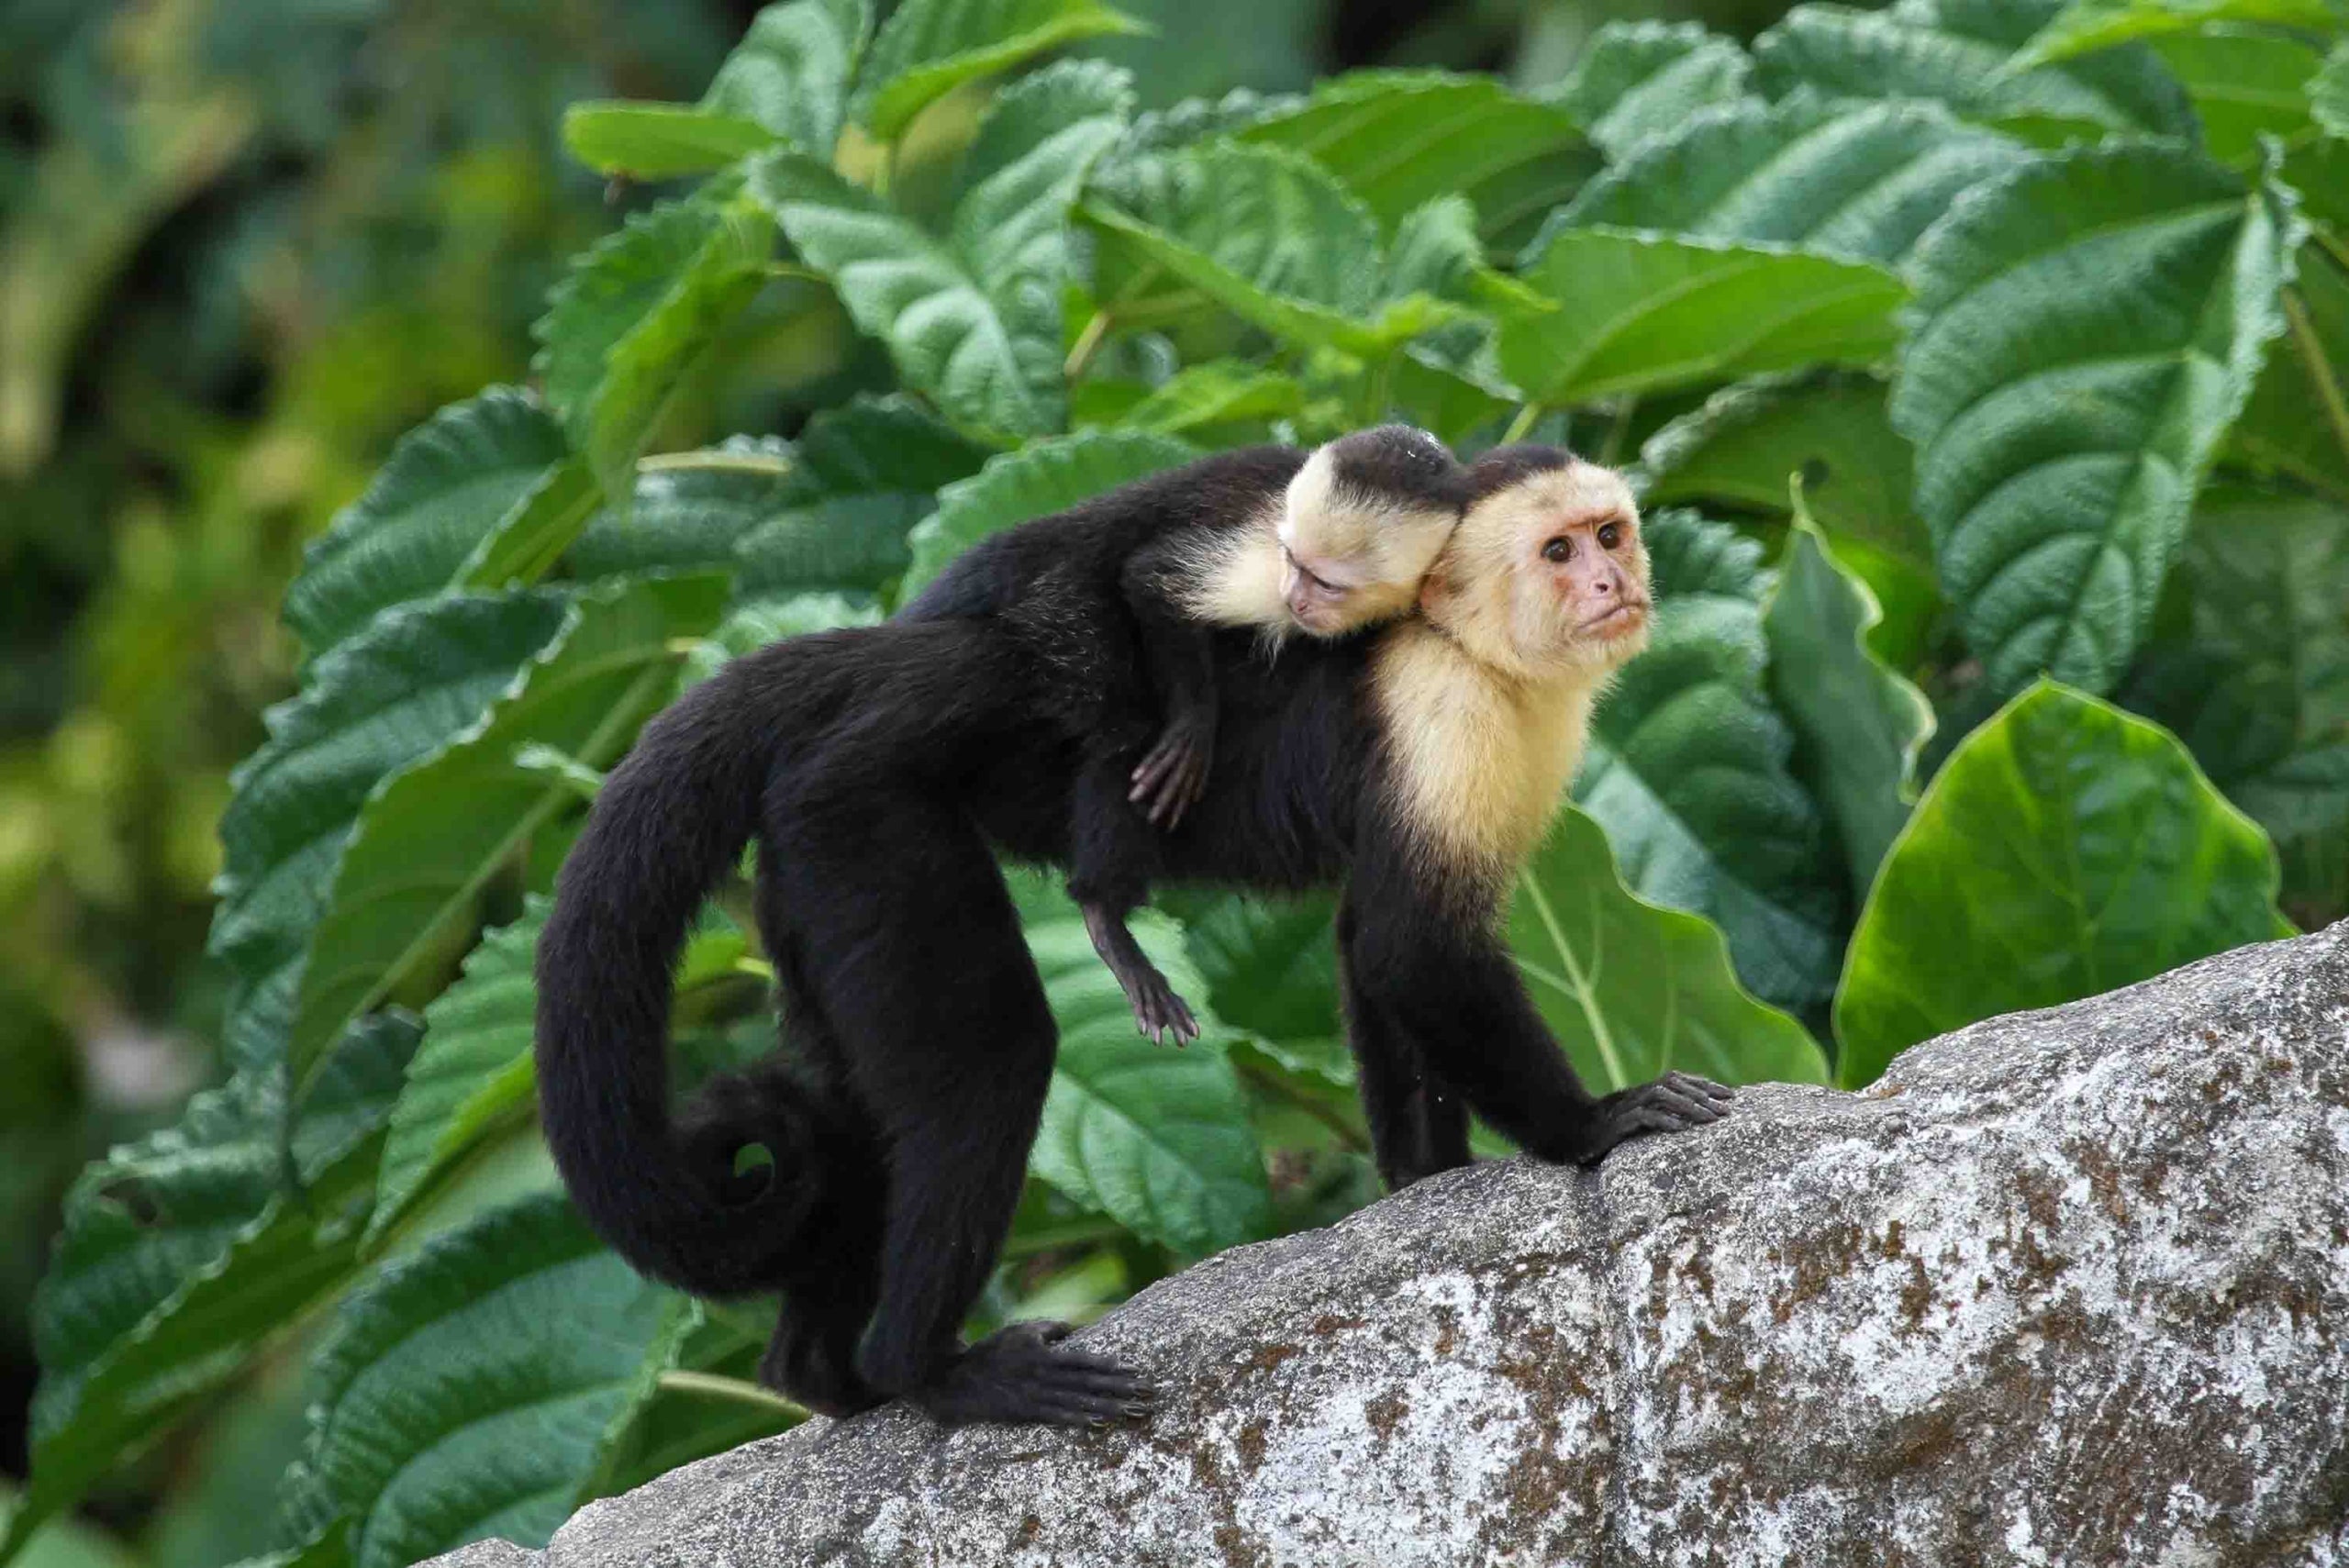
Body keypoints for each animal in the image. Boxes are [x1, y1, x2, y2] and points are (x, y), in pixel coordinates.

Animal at [901, 424, 1466, 1047]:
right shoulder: (1260, 555)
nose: (1296, 599)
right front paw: (1195, 725)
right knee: (1121, 717)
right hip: (1060, 604)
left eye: (1326, 583)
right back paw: (1104, 911)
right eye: (1294, 561)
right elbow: (1154, 580)